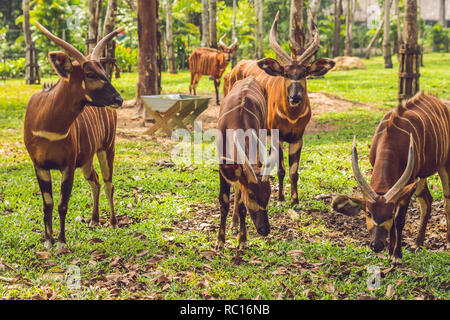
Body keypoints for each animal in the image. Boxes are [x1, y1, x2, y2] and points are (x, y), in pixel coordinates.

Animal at [24, 22, 124, 249]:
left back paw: (113, 223)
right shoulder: (40, 165)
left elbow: (62, 203)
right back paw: (94, 220)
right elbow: (48, 203)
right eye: (90, 74)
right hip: (86, 160)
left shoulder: (67, 165)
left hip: (107, 148)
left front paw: (61, 242)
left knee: (108, 183)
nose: (119, 99)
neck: (47, 123)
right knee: (95, 181)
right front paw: (48, 241)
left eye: (103, 71)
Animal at [216, 76, 276, 249]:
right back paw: (234, 223)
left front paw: (242, 240)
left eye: (269, 193)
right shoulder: (222, 164)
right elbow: (224, 201)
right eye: (251, 194)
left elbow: (242, 204)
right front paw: (220, 241)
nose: (265, 230)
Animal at [224, 11, 334, 205]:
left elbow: (294, 171)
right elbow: (281, 169)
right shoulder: (278, 136)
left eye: (304, 73)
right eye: (286, 73)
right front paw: (282, 198)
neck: (292, 116)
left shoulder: (297, 137)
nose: (295, 97)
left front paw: (295, 200)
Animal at [330, 91, 450, 264]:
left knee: (446, 202)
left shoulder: (408, 185)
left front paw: (396, 255)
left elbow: (399, 220)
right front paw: (390, 251)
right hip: (421, 177)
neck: (392, 139)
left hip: (444, 166)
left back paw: (447, 242)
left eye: (389, 213)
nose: (377, 246)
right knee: (427, 200)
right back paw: (418, 244)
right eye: (368, 213)